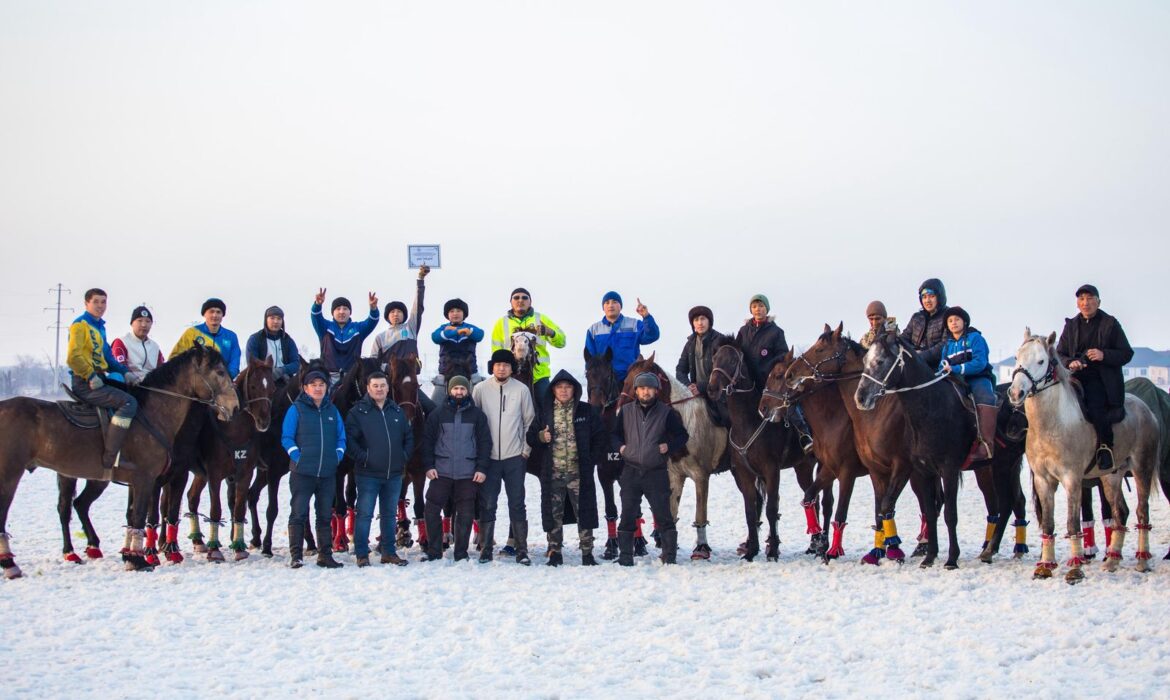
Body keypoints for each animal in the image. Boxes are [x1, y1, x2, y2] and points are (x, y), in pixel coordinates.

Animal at [0, 341, 238, 578]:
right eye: (219, 372)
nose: (234, 406)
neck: (153, 414)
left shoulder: (151, 480)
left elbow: (135, 516)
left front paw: (132, 556)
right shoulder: (145, 479)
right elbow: (141, 516)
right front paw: (138, 559)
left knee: (74, 506)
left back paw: (80, 550)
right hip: (14, 474)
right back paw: (15, 563)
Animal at [617, 353, 725, 561]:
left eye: (635, 382)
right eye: (625, 381)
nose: (619, 412)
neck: (687, 422)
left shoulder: (701, 476)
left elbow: (700, 514)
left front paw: (701, 548)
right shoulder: (675, 475)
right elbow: (671, 512)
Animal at [856, 330, 973, 571]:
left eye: (880, 361)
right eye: (864, 360)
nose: (860, 397)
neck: (934, 407)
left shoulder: (947, 469)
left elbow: (949, 514)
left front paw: (951, 559)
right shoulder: (922, 471)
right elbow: (929, 511)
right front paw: (929, 557)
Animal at [1006, 332, 1160, 585]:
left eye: (1041, 361)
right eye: (1017, 357)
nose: (1016, 393)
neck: (1052, 424)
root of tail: (1146, 409)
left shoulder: (1072, 480)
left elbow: (1072, 523)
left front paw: (1075, 570)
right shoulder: (1043, 480)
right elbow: (1048, 524)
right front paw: (1045, 567)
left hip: (1142, 469)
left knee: (1141, 511)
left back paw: (1142, 561)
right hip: (1111, 477)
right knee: (1120, 512)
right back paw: (1112, 561)